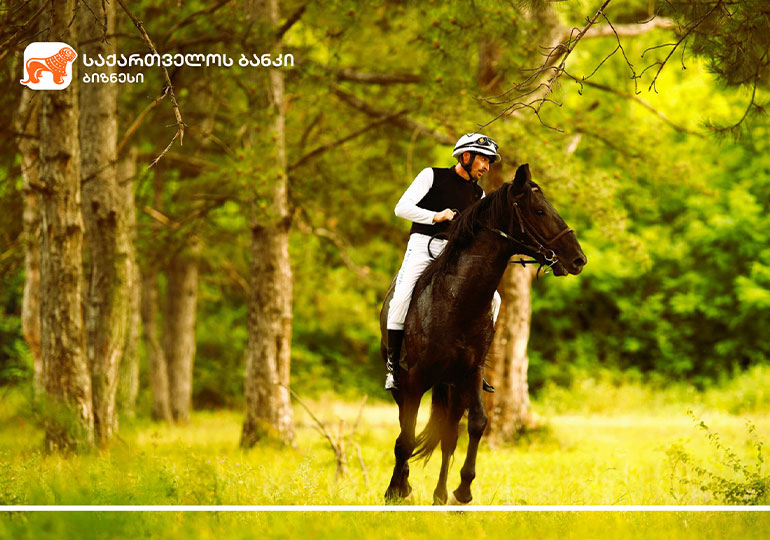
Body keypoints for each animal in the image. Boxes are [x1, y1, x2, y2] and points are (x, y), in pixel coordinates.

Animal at [376, 162, 584, 504]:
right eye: (539, 210)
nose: (578, 259)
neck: (457, 300)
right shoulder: (415, 381)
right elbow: (406, 438)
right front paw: (395, 490)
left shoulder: (469, 373)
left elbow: (476, 425)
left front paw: (462, 490)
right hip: (404, 387)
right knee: (406, 430)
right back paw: (404, 484)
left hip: (450, 386)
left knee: (448, 436)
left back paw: (440, 495)